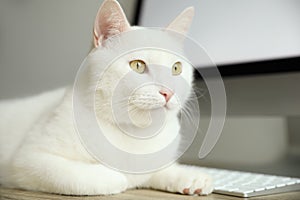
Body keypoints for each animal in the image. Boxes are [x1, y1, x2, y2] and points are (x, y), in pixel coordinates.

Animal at [0, 0, 213, 197]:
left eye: (176, 68)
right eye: (138, 65)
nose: (168, 92)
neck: (134, 134)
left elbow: (160, 170)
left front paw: (191, 176)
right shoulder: (31, 160)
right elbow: (101, 178)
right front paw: (120, 178)